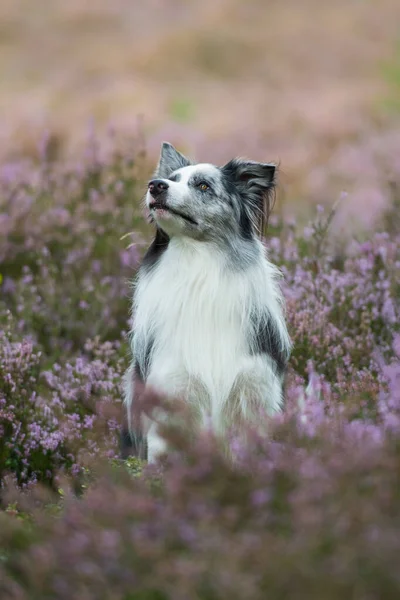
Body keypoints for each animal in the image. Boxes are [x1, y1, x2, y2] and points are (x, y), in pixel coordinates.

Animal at [120, 143, 292, 462]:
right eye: (171, 179)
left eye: (203, 186)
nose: (155, 185)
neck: (199, 264)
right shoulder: (171, 390)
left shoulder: (256, 391)